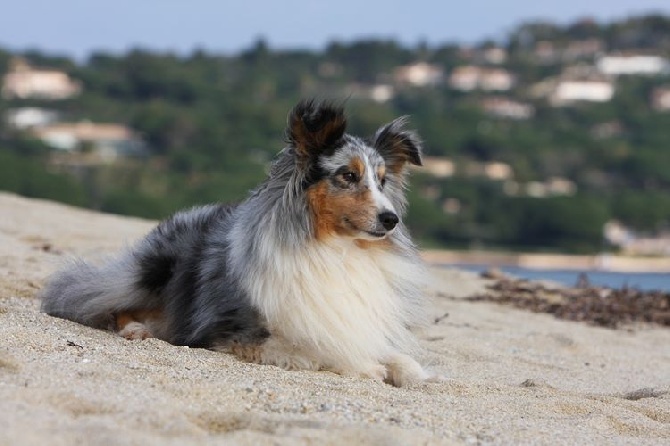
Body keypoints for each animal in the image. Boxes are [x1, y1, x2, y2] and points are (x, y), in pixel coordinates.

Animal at [42, 100, 440, 386]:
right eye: (349, 175)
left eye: (383, 182)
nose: (391, 219)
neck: (334, 250)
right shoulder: (236, 334)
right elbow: (319, 349)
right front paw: (364, 367)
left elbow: (397, 356)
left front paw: (414, 373)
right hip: (149, 272)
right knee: (108, 303)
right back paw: (137, 329)